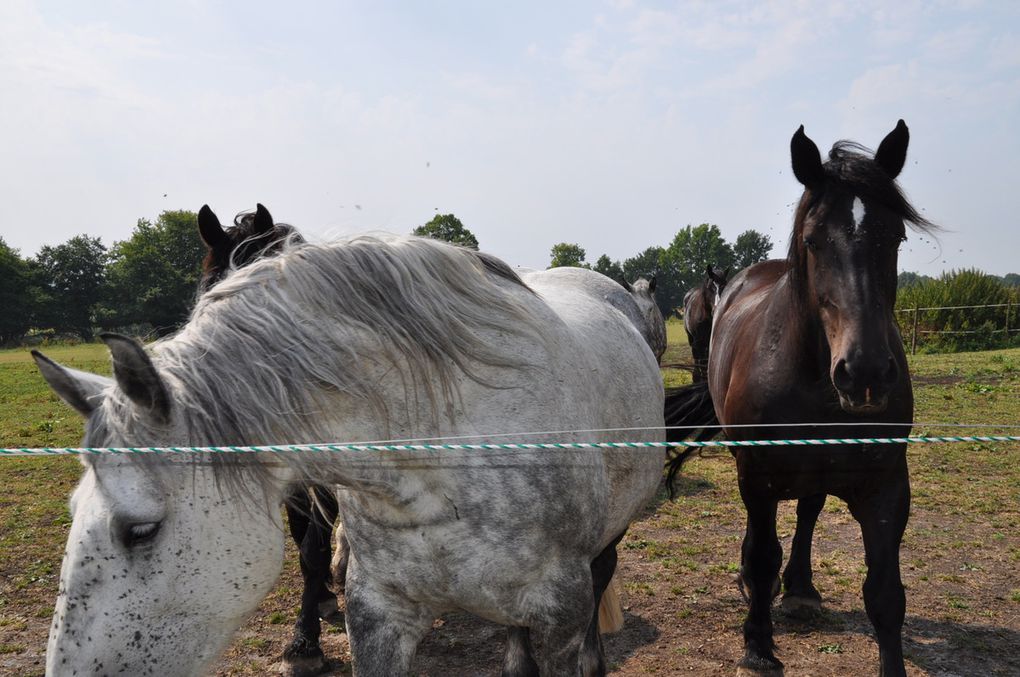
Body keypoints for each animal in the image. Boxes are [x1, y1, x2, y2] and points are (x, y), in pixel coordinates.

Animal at [665, 121, 934, 677]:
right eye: (813, 241)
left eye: (895, 236)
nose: (865, 372)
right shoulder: (759, 473)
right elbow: (763, 557)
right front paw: (757, 645)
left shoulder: (886, 486)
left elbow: (885, 593)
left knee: (809, 510)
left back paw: (802, 588)